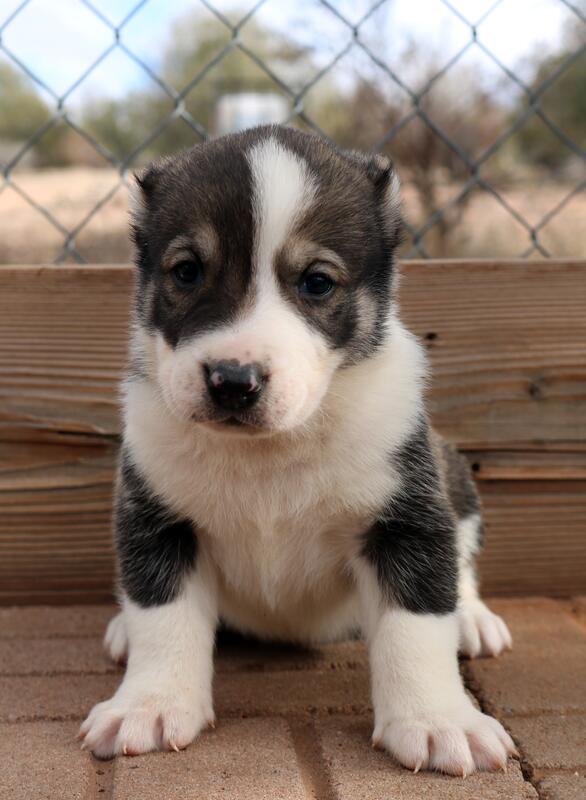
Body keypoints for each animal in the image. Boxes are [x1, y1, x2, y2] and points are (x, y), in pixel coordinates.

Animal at [79, 125, 515, 775]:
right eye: (186, 272)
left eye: (316, 283)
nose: (233, 380)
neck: (271, 451)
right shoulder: (155, 518)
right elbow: (162, 616)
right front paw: (149, 704)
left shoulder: (407, 521)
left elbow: (416, 623)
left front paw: (438, 720)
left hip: (454, 477)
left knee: (460, 564)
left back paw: (474, 617)